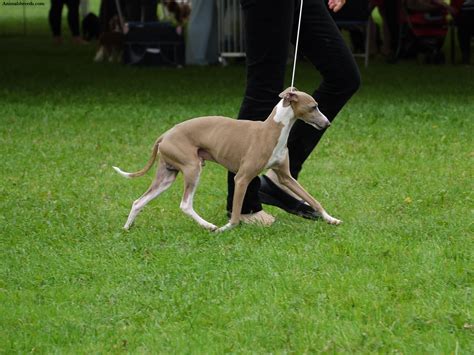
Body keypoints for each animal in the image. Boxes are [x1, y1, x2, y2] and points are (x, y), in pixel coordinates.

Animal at [113, 88, 342, 234]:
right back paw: (209, 226)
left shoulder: (286, 177)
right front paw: (226, 228)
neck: (272, 129)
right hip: (193, 167)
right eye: (314, 106)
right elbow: (236, 214)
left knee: (138, 201)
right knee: (185, 204)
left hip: (166, 176)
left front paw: (330, 218)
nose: (327, 123)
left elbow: (313, 199)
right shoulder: (241, 178)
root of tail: (164, 135)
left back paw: (127, 227)